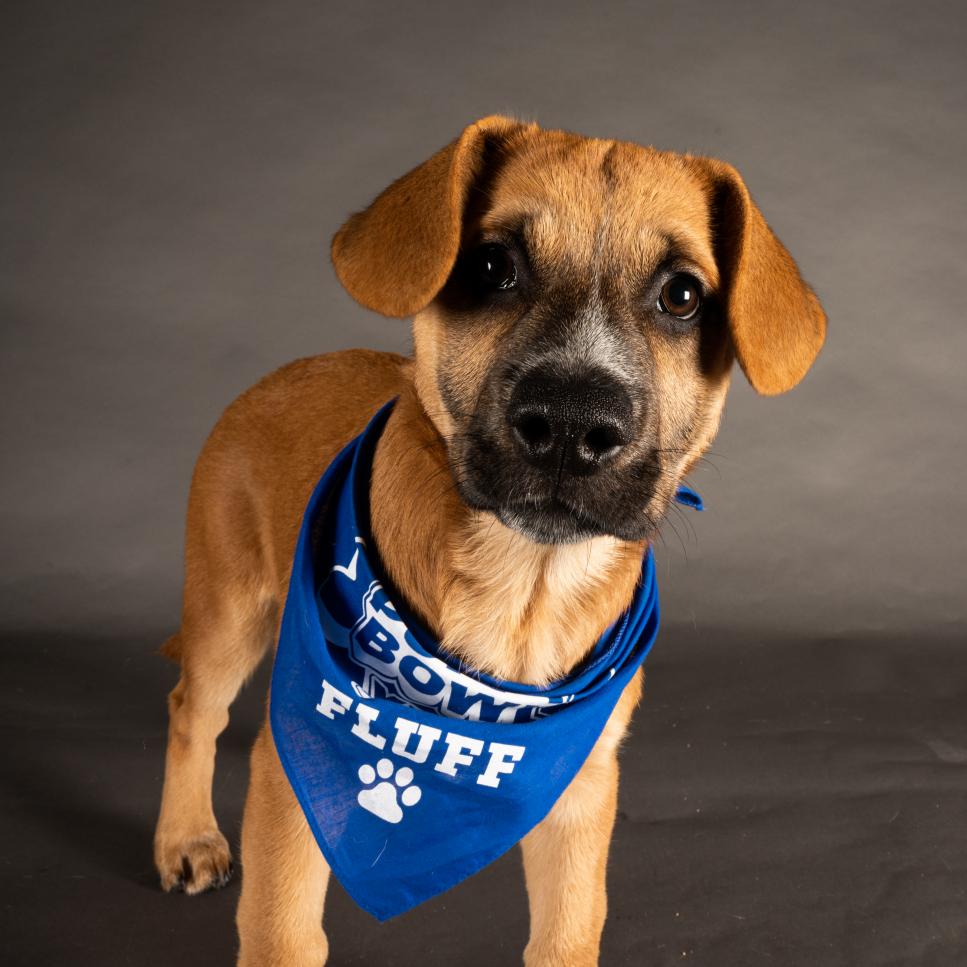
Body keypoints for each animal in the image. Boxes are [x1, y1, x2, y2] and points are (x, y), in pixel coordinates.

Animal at [151, 117, 824, 964]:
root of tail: (270, 378)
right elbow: (283, 934)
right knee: (192, 707)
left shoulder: (580, 787)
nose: (571, 423)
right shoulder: (291, 776)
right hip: (229, 605)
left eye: (681, 295)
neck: (524, 589)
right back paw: (184, 836)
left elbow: (567, 929)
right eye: (492, 265)